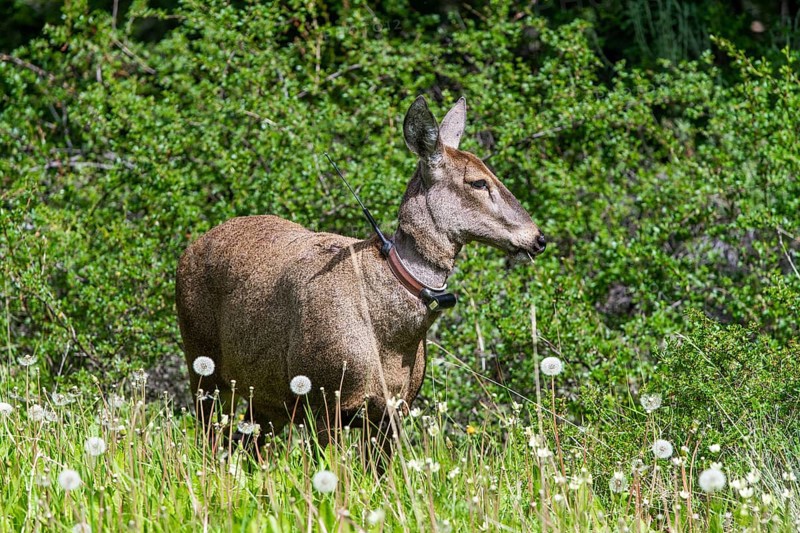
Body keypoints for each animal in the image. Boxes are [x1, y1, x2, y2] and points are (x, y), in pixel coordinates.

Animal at [175, 96, 546, 462]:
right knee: (209, 440)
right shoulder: (324, 400)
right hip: (203, 364)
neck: (392, 336)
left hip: (267, 398)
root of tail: (189, 249)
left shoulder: (393, 411)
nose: (537, 238)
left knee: (245, 445)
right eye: (478, 181)